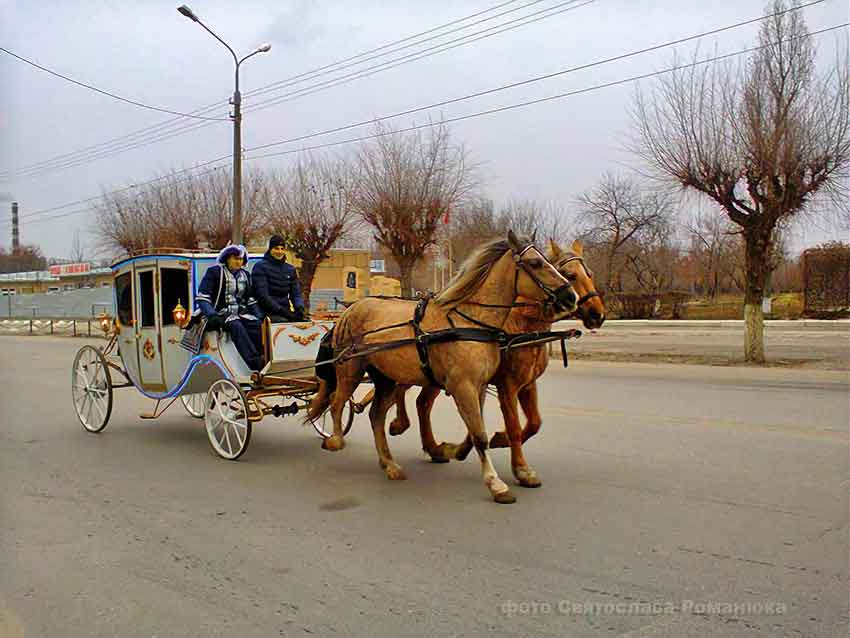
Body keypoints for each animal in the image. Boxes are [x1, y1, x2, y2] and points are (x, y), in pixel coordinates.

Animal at [304, 232, 576, 508]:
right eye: (535, 263)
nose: (570, 296)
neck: (469, 321)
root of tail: (349, 310)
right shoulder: (464, 386)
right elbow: (480, 435)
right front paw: (495, 483)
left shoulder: (478, 386)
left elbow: (476, 431)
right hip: (351, 369)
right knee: (337, 403)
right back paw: (336, 440)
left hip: (386, 378)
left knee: (376, 416)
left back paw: (389, 463)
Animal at [384, 240, 604, 490]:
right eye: (570, 274)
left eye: (589, 273)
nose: (597, 314)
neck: (521, 327)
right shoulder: (506, 386)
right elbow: (514, 426)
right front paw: (520, 467)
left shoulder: (526, 384)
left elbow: (534, 423)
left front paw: (489, 442)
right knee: (402, 391)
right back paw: (399, 423)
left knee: (421, 403)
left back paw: (432, 446)